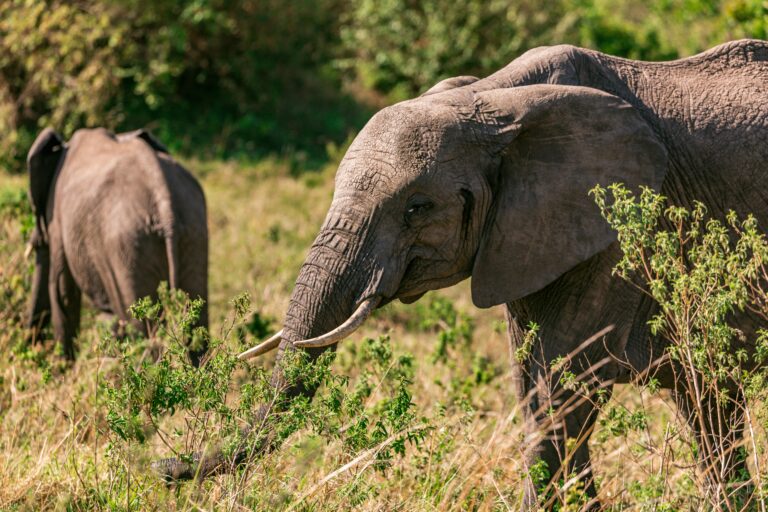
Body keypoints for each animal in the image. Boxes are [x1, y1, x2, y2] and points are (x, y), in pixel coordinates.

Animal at [26, 127, 209, 366]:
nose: (31, 352)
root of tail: (164, 200)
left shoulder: (57, 218)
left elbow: (62, 293)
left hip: (128, 244)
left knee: (141, 327)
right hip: (192, 230)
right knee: (196, 325)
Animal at [155, 39, 768, 505]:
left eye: (416, 209)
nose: (164, 467)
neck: (494, 99)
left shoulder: (615, 234)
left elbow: (562, 391)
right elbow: (535, 386)